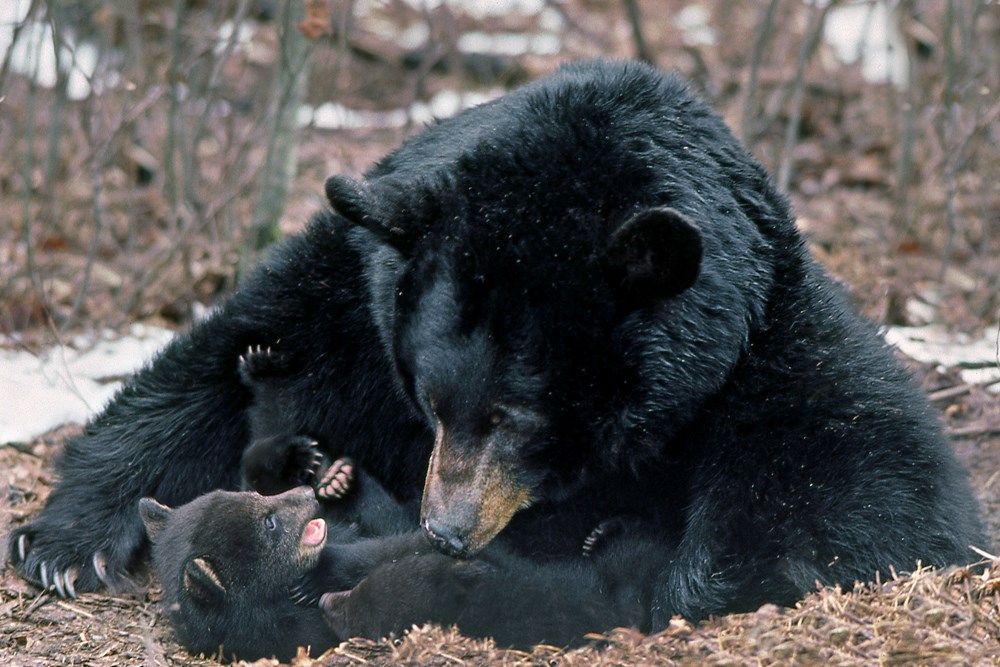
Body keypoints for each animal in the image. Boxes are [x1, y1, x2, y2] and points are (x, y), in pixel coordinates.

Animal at [8, 59, 986, 629]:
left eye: (520, 416)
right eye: (431, 398)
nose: (447, 530)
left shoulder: (761, 343)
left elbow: (863, 486)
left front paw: (674, 576)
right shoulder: (356, 295)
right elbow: (221, 364)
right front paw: (65, 544)